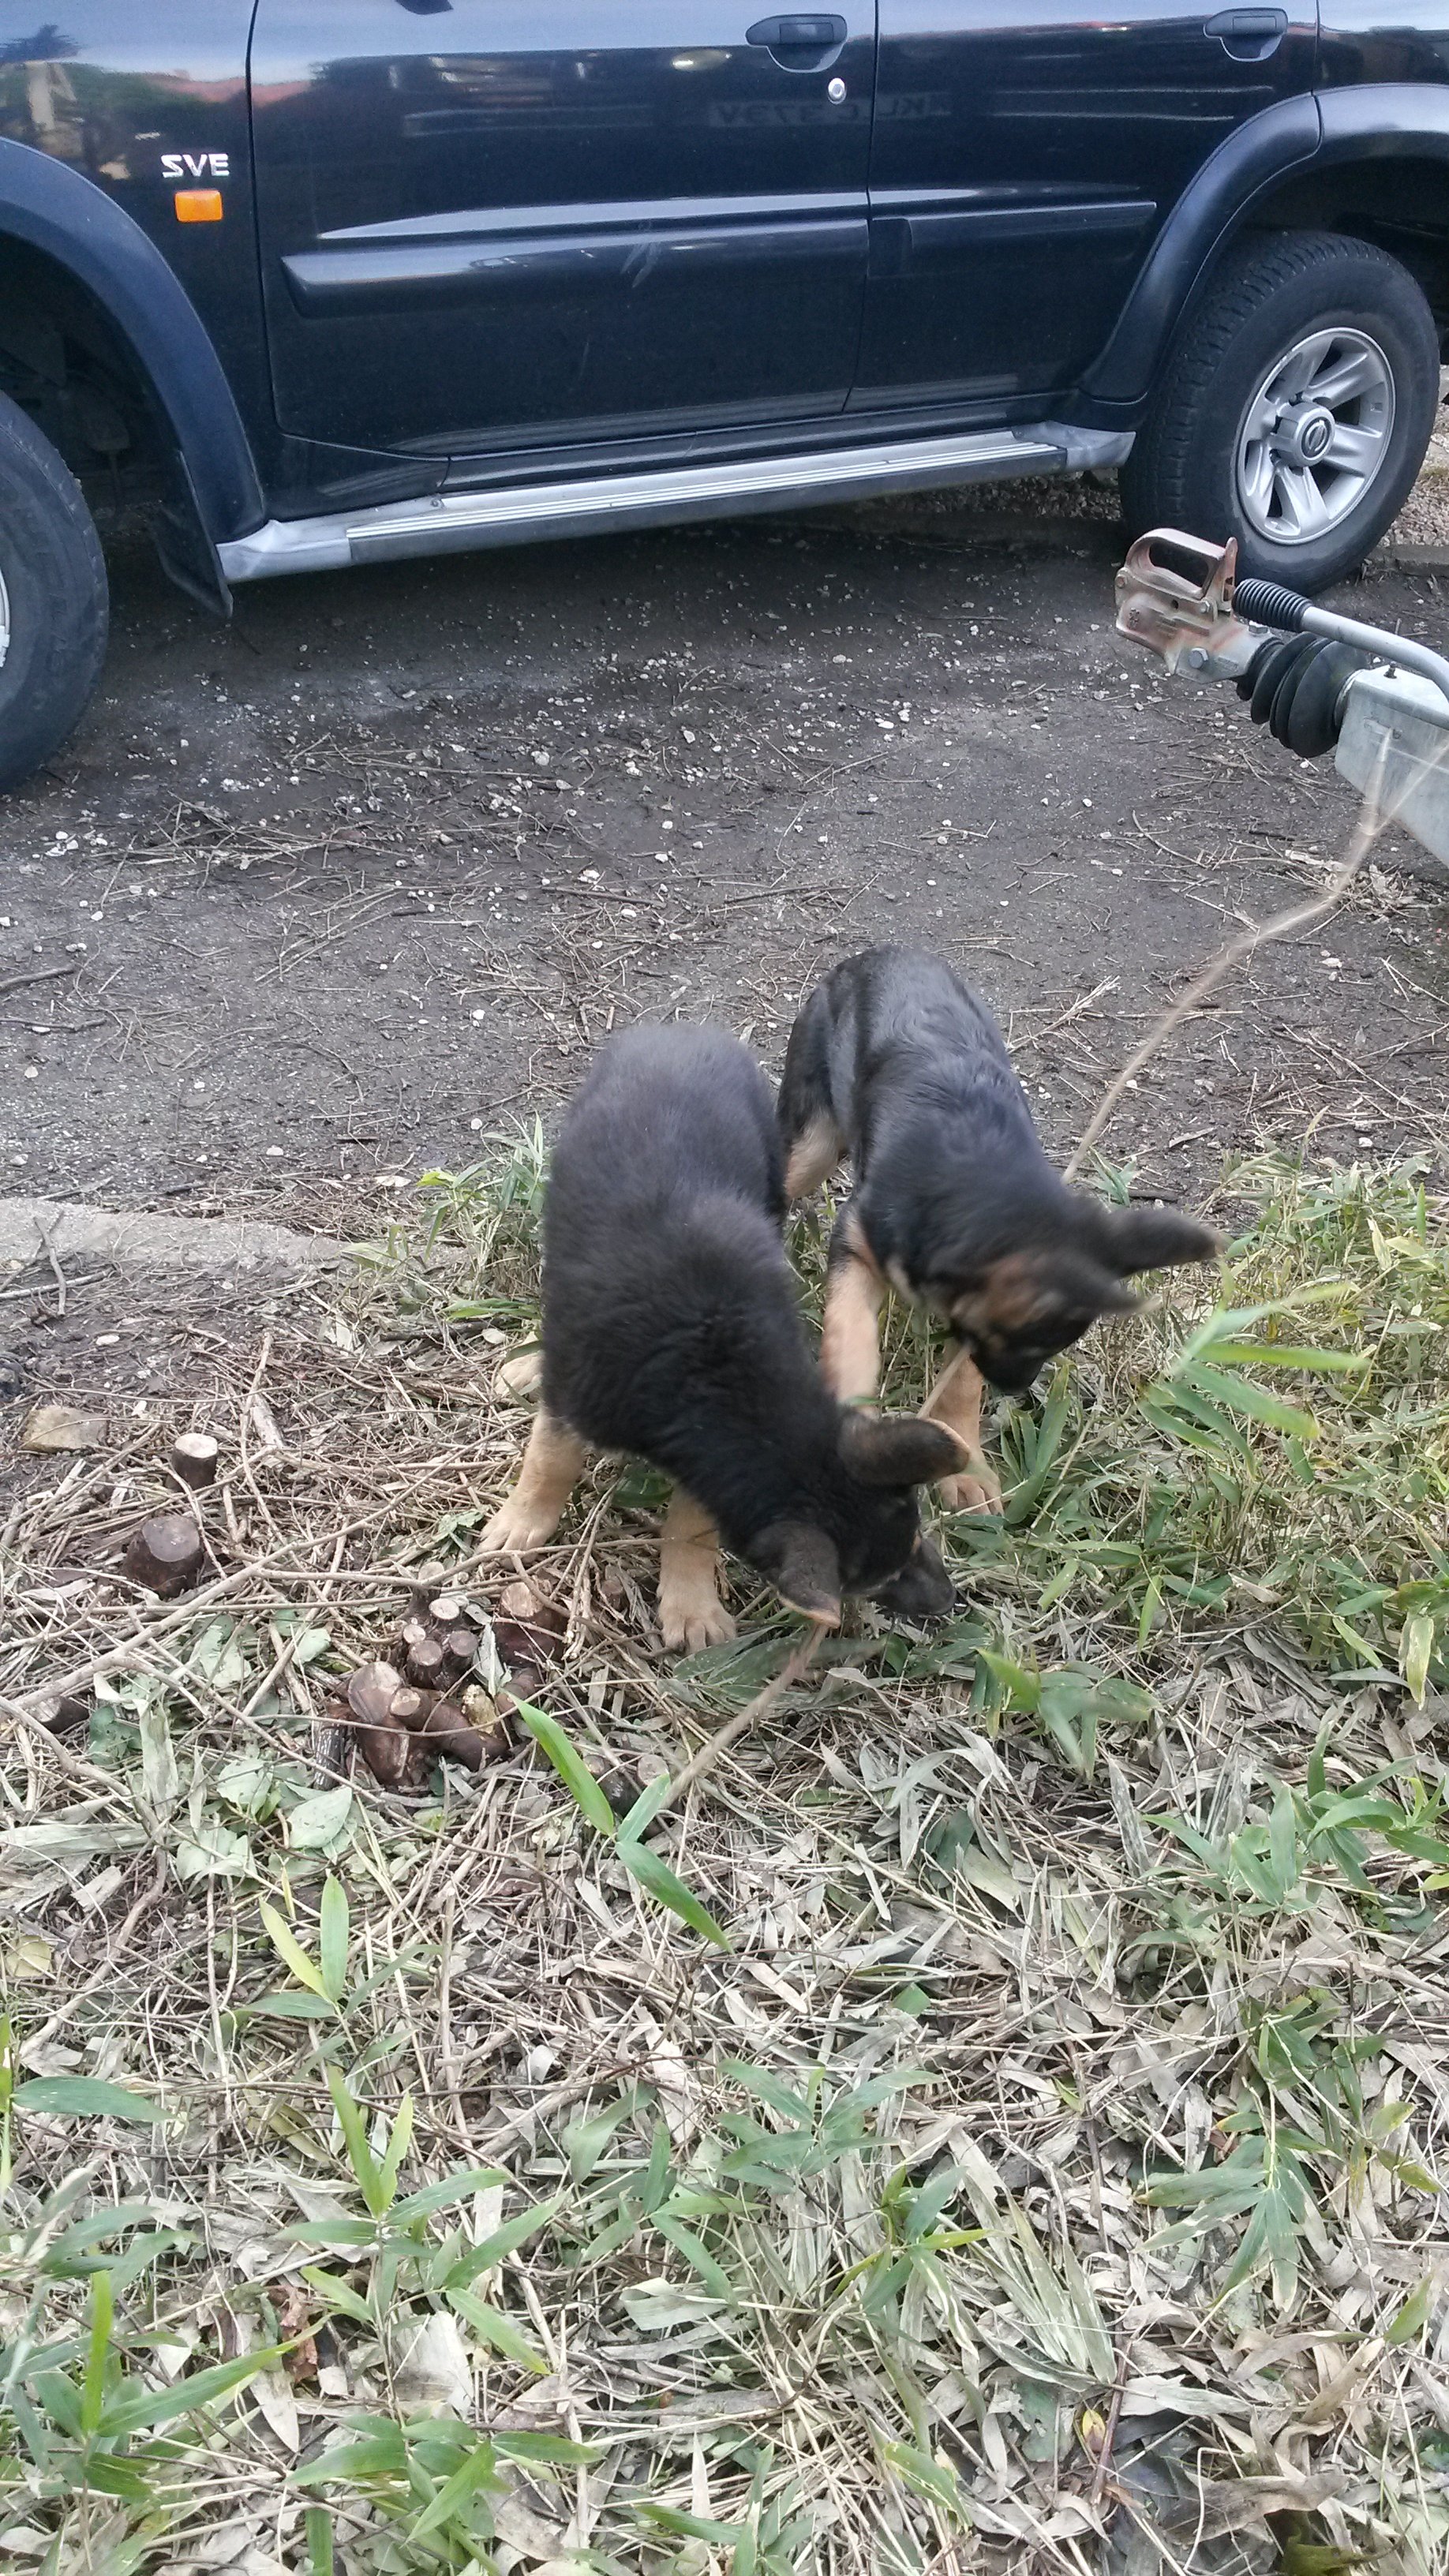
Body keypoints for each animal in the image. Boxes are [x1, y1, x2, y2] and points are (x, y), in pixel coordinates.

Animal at [480, 1023, 964, 1647]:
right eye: (876, 1582)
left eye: (914, 1536)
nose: (950, 1602)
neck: (714, 1365)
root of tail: (681, 1029)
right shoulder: (576, 1392)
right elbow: (552, 1456)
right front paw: (523, 1519)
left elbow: (692, 1522)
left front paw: (691, 1603)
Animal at [778, 949, 1218, 1511]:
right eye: (1029, 1347)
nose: (1017, 1389)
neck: (972, 1168)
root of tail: (877, 954)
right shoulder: (855, 1248)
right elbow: (850, 1340)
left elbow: (960, 1381)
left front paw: (965, 1467)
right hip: (811, 1146)